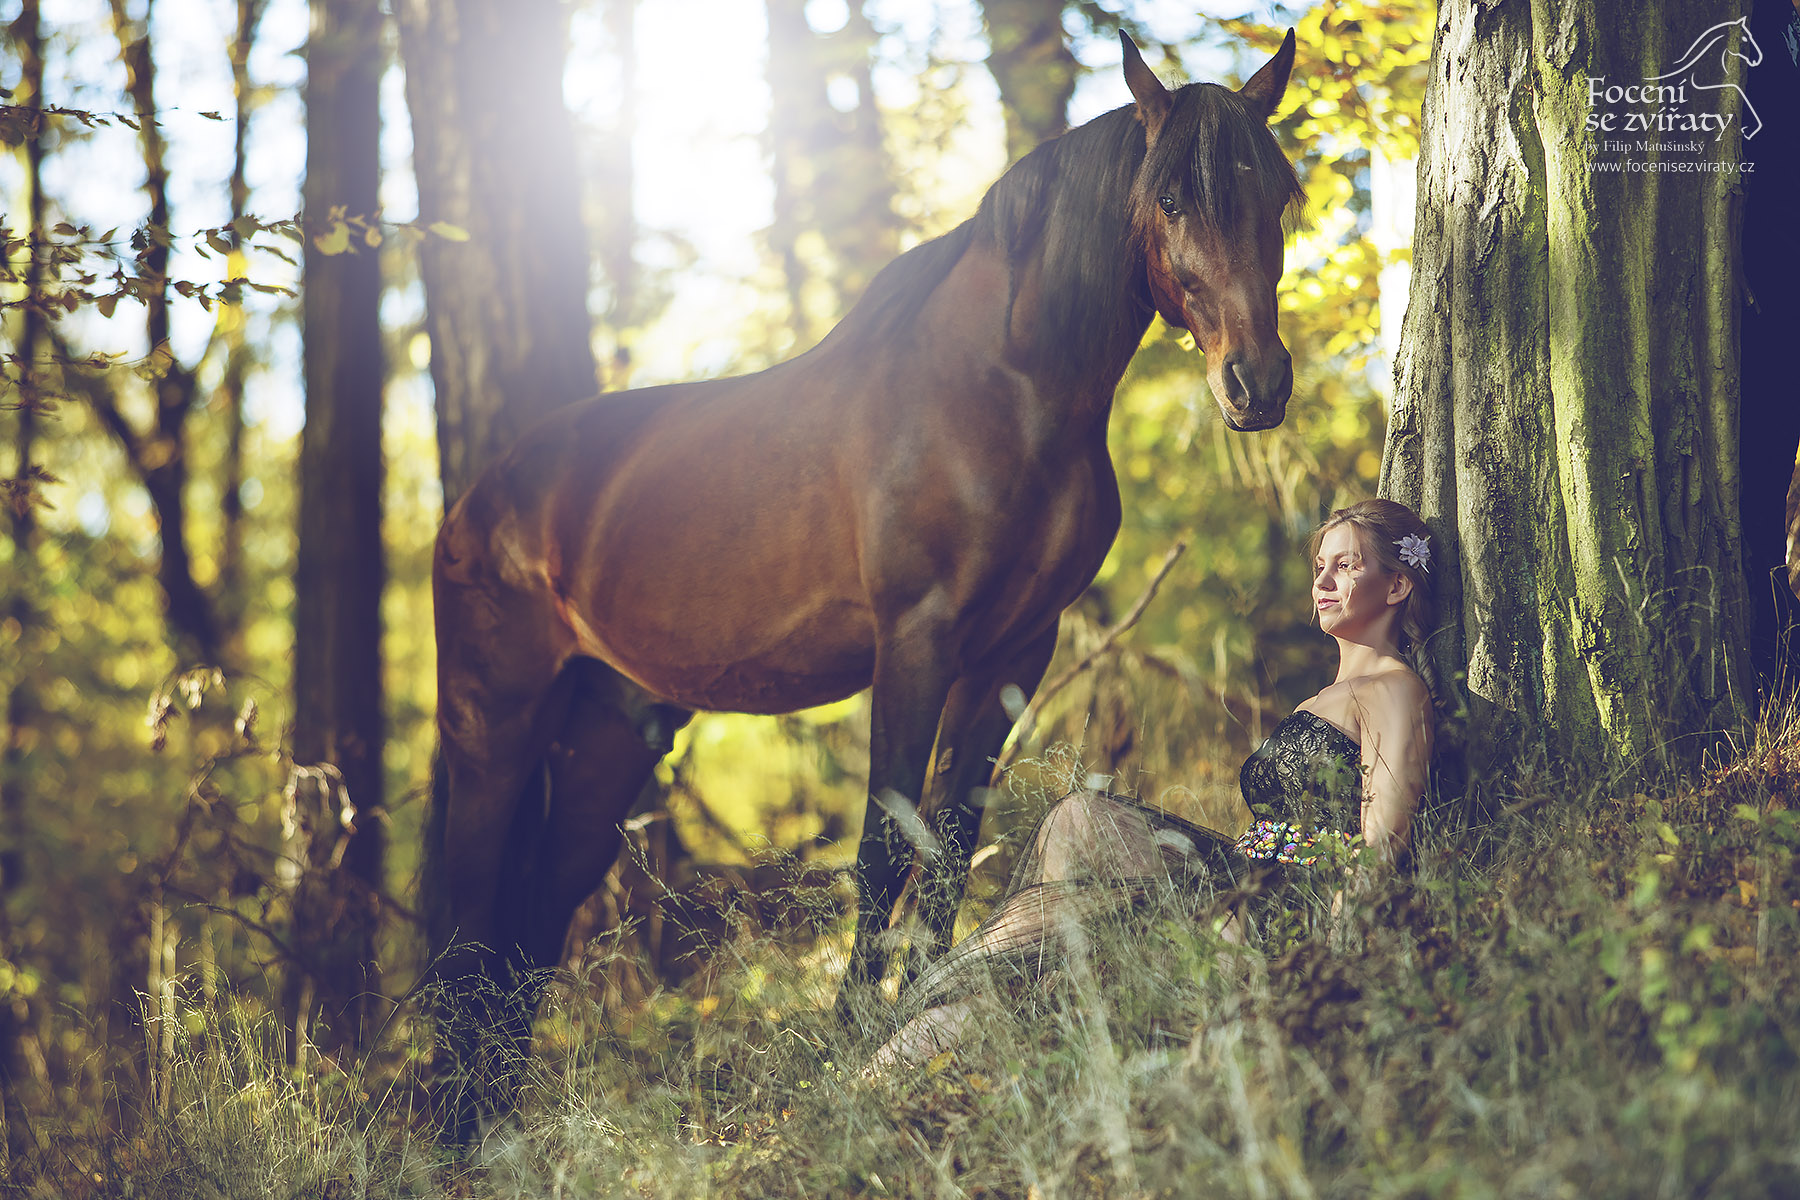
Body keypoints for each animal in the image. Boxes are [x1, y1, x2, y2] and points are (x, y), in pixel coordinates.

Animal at [424, 30, 1296, 1144]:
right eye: (1173, 198)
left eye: (1279, 192)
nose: (1257, 385)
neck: (1004, 389)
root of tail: (477, 501)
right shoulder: (913, 643)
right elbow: (887, 845)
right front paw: (846, 1047)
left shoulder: (1015, 651)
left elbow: (952, 841)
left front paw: (925, 1013)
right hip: (492, 721)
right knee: (469, 926)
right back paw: (457, 1132)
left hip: (608, 732)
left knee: (534, 923)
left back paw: (497, 1133)